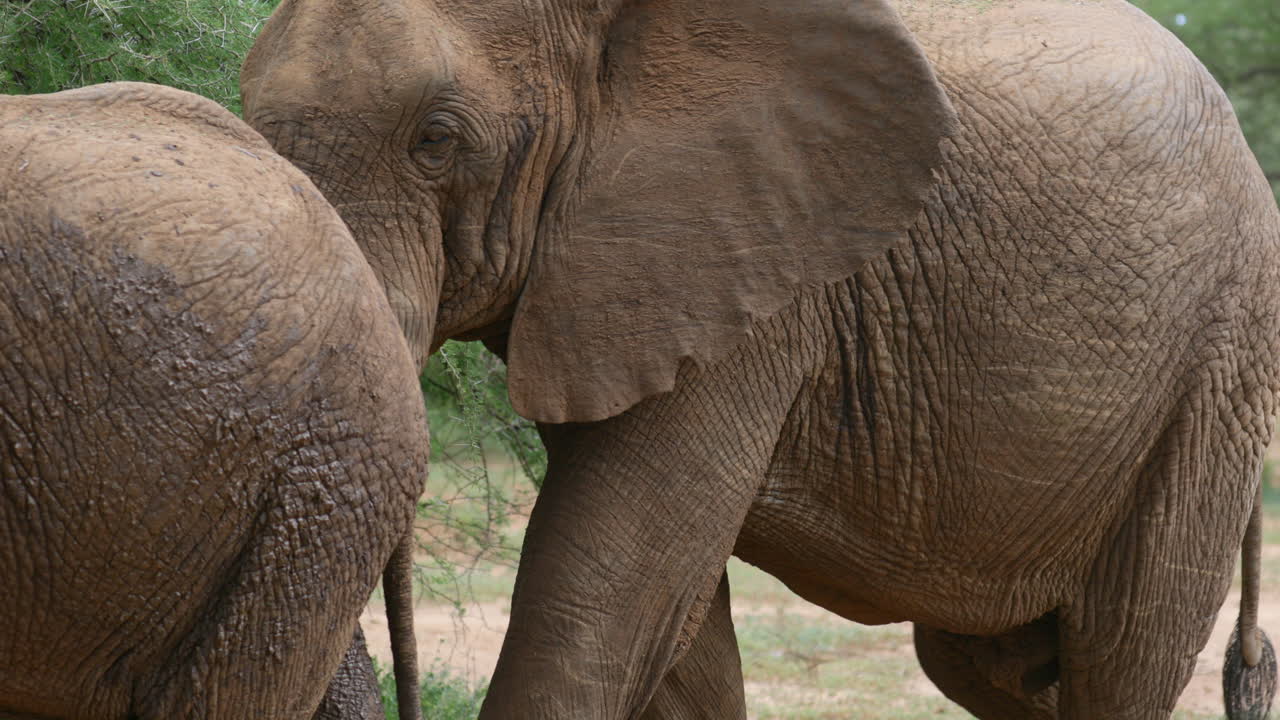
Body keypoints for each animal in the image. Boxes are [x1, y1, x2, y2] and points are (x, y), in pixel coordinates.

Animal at [240, 0, 1280, 717]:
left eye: (436, 140)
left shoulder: (749, 274)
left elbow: (606, 594)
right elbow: (671, 626)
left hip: (1218, 371)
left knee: (1123, 653)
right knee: (999, 667)